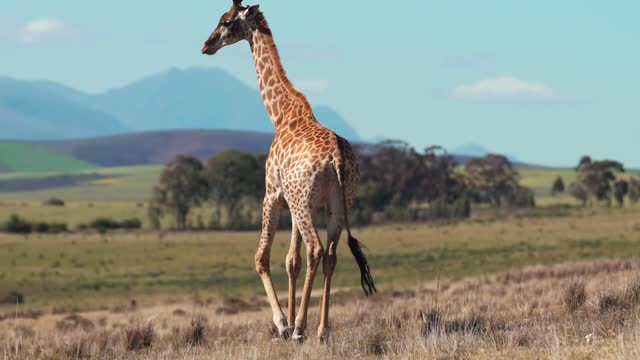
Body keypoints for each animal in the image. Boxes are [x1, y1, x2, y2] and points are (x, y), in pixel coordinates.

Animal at [201, 1, 376, 342]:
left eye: (225, 21)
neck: (280, 114)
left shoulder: (273, 194)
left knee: (316, 249)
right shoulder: (294, 203)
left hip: (304, 203)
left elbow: (262, 257)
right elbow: (291, 260)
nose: (206, 45)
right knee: (330, 255)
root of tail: (337, 158)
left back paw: (299, 329)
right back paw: (321, 330)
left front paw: (283, 323)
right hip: (338, 204)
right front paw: (293, 321)